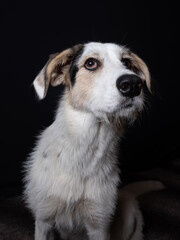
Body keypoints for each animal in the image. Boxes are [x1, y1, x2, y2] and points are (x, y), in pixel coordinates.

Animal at [24, 42, 165, 239]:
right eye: (90, 63)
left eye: (127, 63)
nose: (133, 84)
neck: (86, 147)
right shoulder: (43, 220)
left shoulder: (99, 224)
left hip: (129, 215)